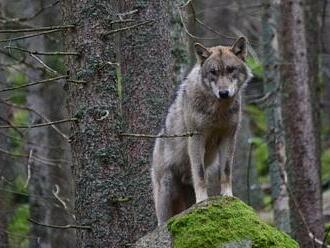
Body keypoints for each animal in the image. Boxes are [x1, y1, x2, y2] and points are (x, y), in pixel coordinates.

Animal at [151, 36, 251, 225]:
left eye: (230, 69)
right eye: (213, 72)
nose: (224, 93)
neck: (218, 110)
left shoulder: (229, 137)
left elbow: (226, 172)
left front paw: (228, 196)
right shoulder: (197, 138)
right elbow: (200, 174)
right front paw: (203, 201)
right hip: (167, 185)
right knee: (161, 220)